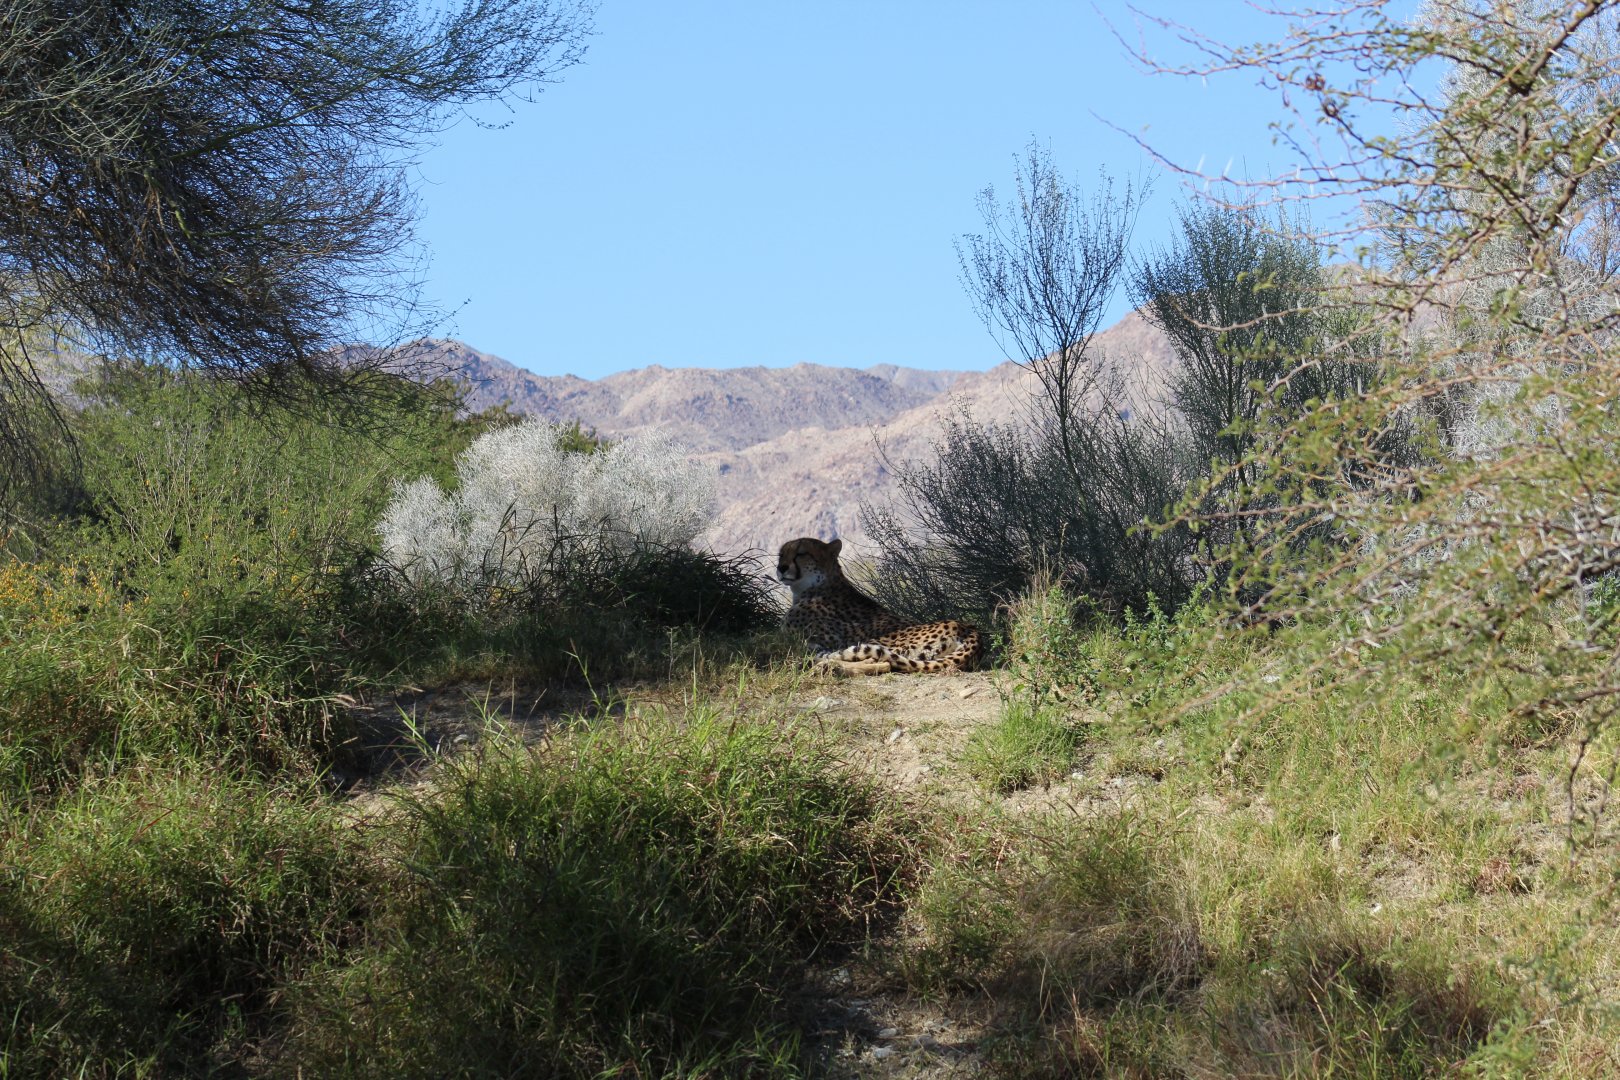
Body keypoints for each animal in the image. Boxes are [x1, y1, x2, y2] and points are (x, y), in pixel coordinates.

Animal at [776, 536, 981, 674]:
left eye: (801, 553)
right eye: (781, 554)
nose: (781, 568)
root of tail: (967, 628)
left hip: (877, 642)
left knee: (881, 662)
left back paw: (824, 668)